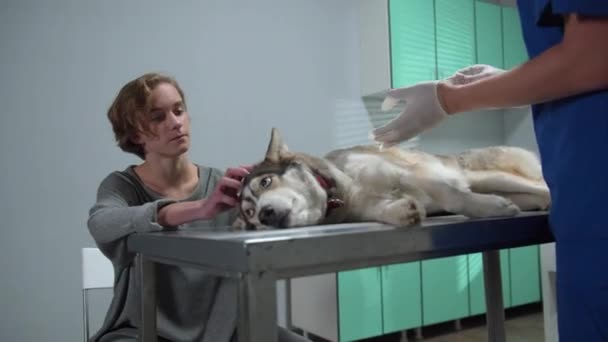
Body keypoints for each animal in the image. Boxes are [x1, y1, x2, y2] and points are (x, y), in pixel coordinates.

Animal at [238, 128, 552, 230]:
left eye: (265, 183)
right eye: (250, 214)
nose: (265, 215)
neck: (345, 191)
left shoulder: (411, 175)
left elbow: (452, 196)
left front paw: (489, 209)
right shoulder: (365, 207)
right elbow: (385, 210)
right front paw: (402, 210)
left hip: (488, 176)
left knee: (541, 186)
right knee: (536, 197)